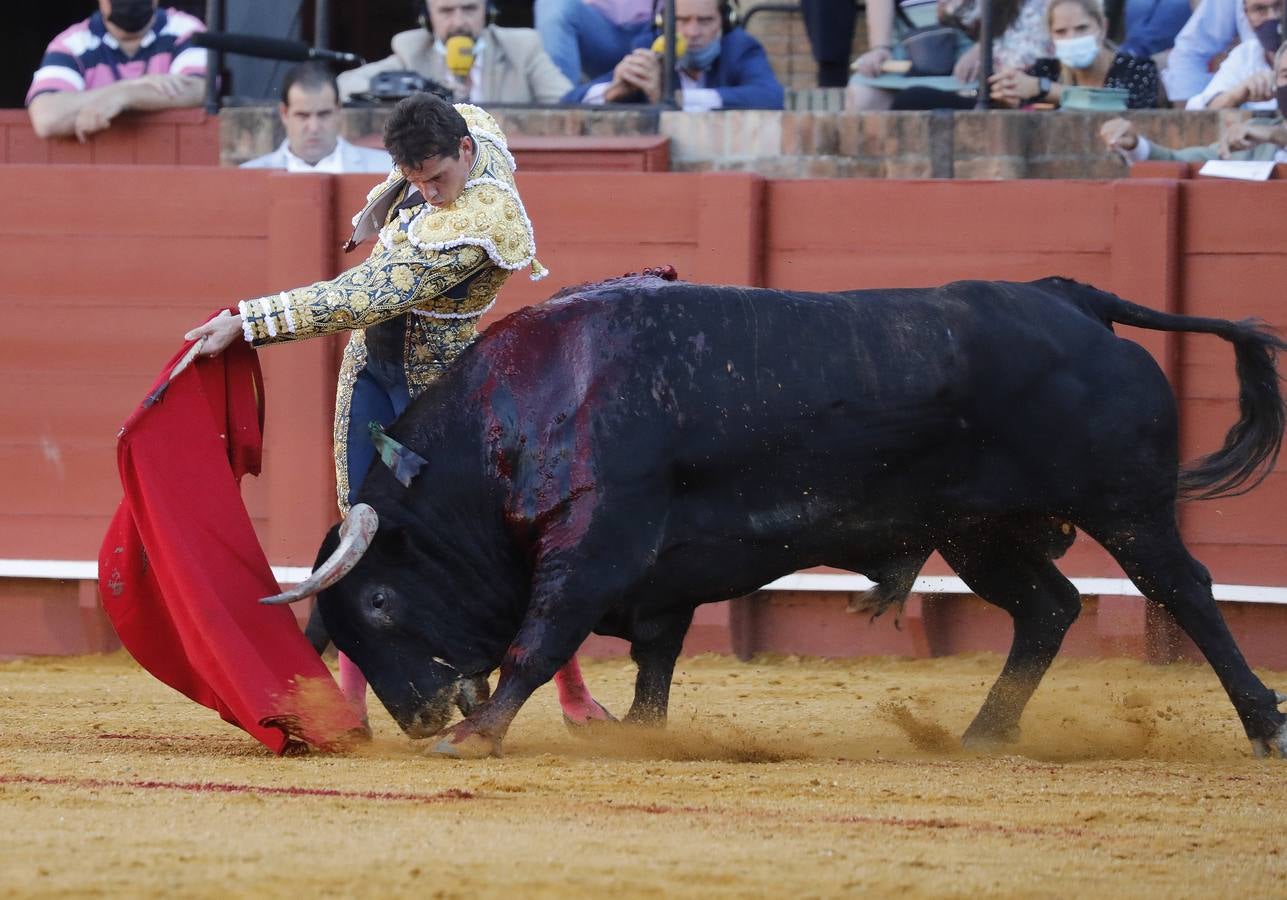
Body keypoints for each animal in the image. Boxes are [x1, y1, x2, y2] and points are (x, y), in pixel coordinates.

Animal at [276, 276, 1287, 762]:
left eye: (375, 605)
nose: (418, 717)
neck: (522, 411)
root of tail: (1074, 299)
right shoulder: (660, 576)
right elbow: (656, 660)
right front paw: (644, 734)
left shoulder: (597, 543)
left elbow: (543, 636)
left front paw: (475, 736)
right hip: (979, 531)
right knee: (1048, 607)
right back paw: (982, 734)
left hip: (1123, 506)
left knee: (1186, 592)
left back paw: (1262, 727)